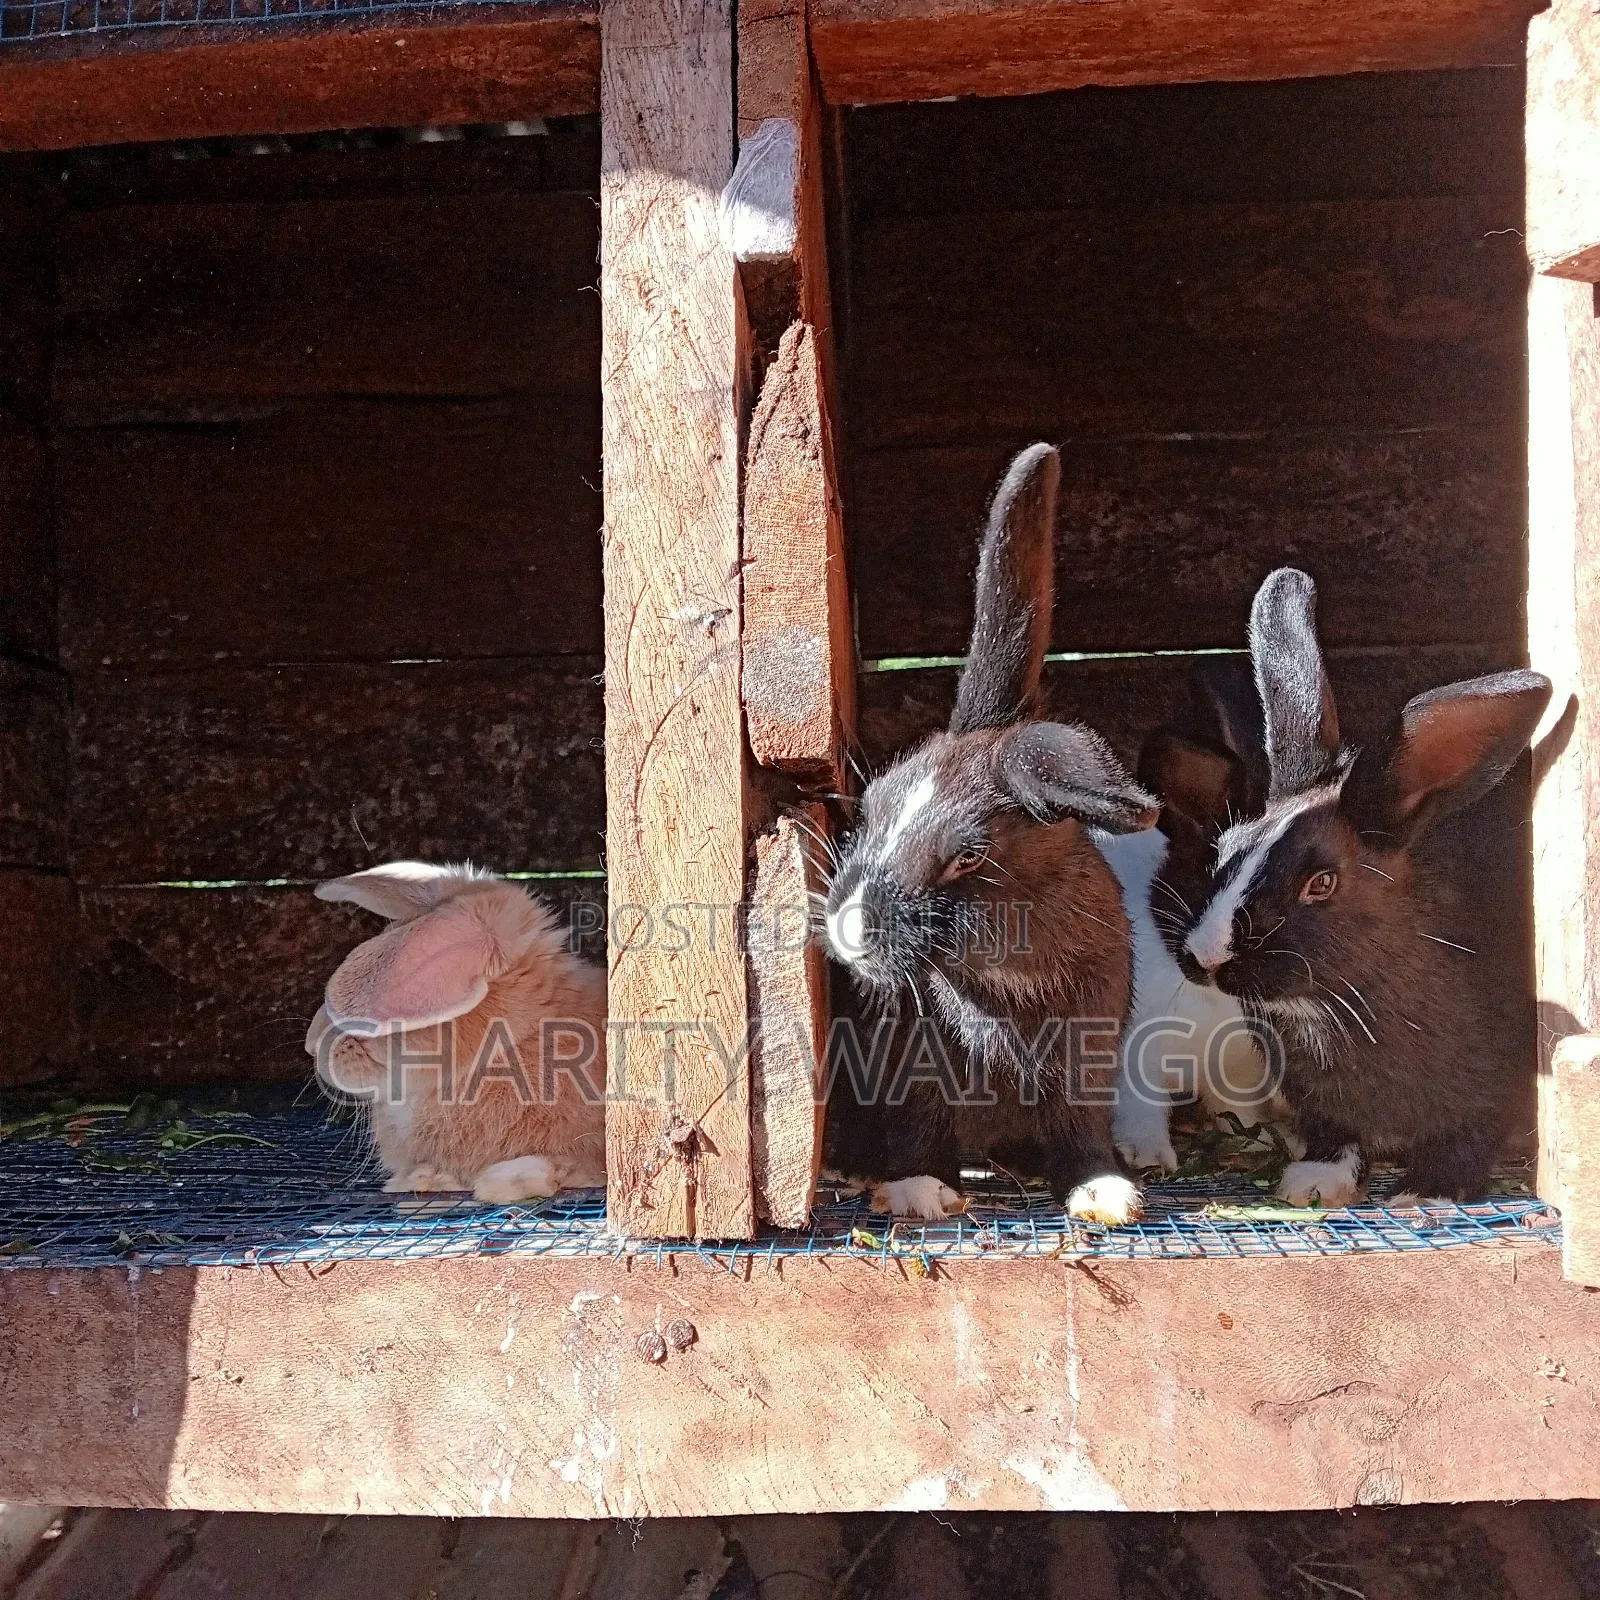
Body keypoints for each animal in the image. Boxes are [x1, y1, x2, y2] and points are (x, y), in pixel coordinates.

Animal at [819, 442, 1159, 1224]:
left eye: (968, 856)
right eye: (870, 809)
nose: (849, 934)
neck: (1006, 980)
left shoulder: (1085, 1059)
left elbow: (1079, 1127)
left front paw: (1106, 1193)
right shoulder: (908, 1061)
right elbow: (918, 1123)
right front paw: (919, 1191)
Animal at [1164, 567, 1550, 1206]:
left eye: (1322, 883)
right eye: (1224, 851)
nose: (1206, 957)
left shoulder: (1490, 1093)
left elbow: (1469, 1136)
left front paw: (1427, 1193)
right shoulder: (1321, 1106)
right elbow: (1336, 1136)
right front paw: (1313, 1184)